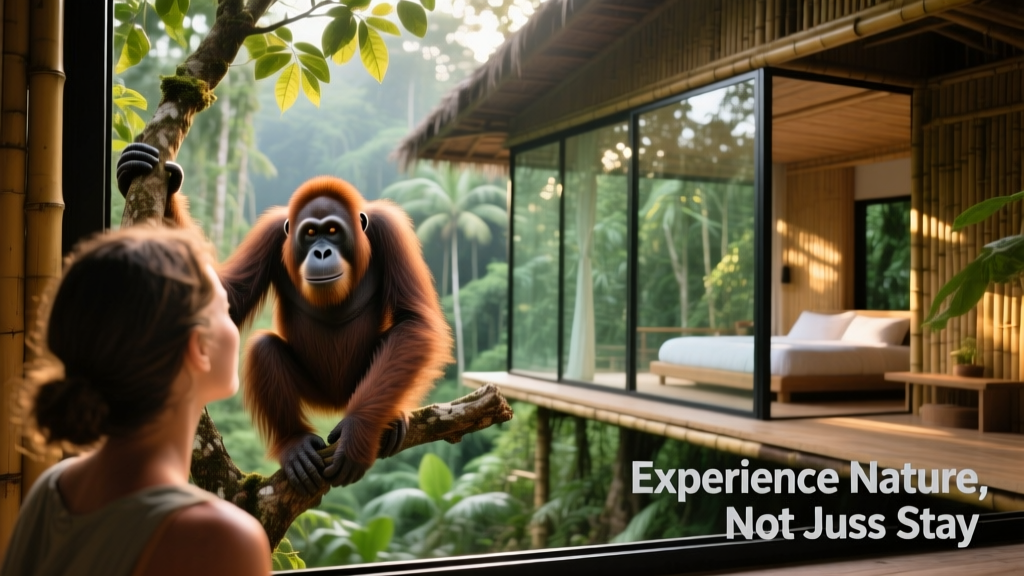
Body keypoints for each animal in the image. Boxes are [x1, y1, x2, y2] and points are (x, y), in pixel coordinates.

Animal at [115, 146, 453, 496]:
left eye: (333, 231)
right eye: (310, 233)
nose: (321, 252)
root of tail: (335, 401)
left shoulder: (389, 229)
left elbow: (414, 321)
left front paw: (356, 434)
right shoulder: (271, 232)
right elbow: (226, 298)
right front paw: (144, 177)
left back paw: (390, 418)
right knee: (264, 346)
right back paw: (296, 444)